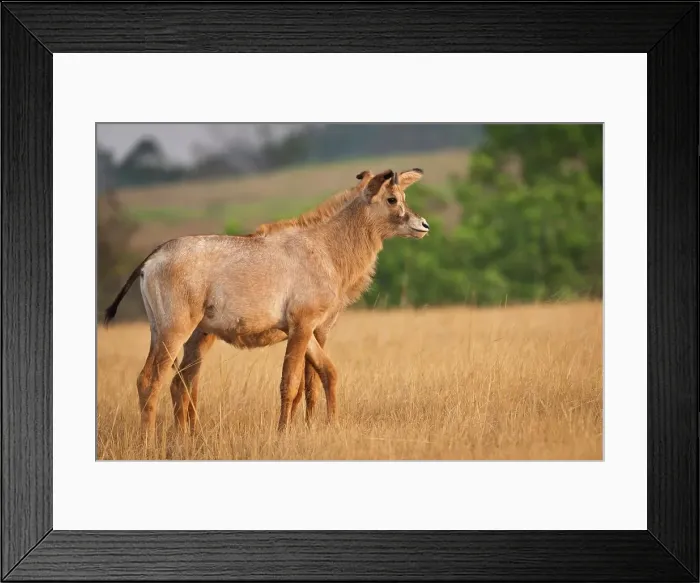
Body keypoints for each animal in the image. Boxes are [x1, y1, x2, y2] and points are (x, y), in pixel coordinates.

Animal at [103, 168, 430, 437]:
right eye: (391, 199)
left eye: (403, 196)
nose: (423, 225)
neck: (325, 247)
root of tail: (153, 257)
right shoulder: (303, 326)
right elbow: (292, 383)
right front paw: (284, 433)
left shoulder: (305, 329)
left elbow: (327, 373)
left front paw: (329, 426)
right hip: (176, 331)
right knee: (152, 381)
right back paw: (149, 444)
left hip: (167, 333)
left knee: (175, 382)